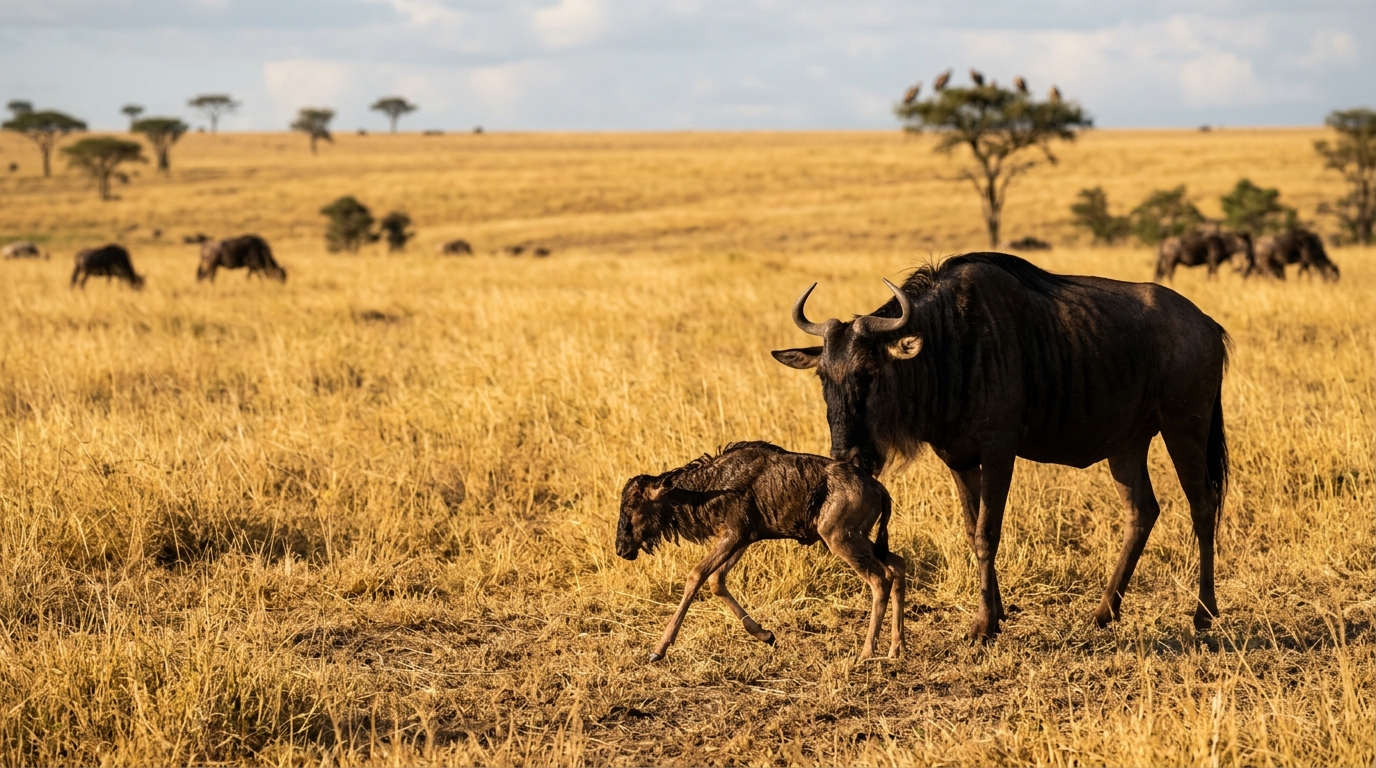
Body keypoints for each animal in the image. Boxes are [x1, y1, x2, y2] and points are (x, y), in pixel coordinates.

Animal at [617, 442, 905, 661]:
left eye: (632, 506)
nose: (621, 549)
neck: (709, 487)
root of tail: (879, 489)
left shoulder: (733, 535)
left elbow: (696, 575)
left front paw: (659, 649)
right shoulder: (742, 538)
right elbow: (716, 581)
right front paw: (765, 635)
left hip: (841, 539)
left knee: (880, 579)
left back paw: (867, 652)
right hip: (860, 539)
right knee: (898, 565)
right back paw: (895, 648)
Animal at [772, 253, 1229, 642]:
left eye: (869, 372)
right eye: (824, 376)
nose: (847, 458)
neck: (949, 345)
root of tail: (1208, 325)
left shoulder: (998, 451)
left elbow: (987, 532)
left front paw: (983, 626)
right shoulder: (957, 458)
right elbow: (972, 528)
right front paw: (996, 612)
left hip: (1185, 428)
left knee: (1202, 506)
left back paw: (1204, 614)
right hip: (1127, 444)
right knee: (1142, 512)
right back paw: (1104, 612)